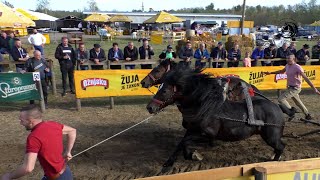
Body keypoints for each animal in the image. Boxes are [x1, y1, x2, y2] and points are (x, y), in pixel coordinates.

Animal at [147, 67, 284, 168]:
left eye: (164, 91)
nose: (150, 107)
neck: (204, 107)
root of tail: (277, 107)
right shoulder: (192, 130)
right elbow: (181, 143)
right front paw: (171, 161)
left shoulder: (209, 134)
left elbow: (185, 142)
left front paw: (193, 155)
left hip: (271, 136)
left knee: (281, 147)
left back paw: (274, 163)